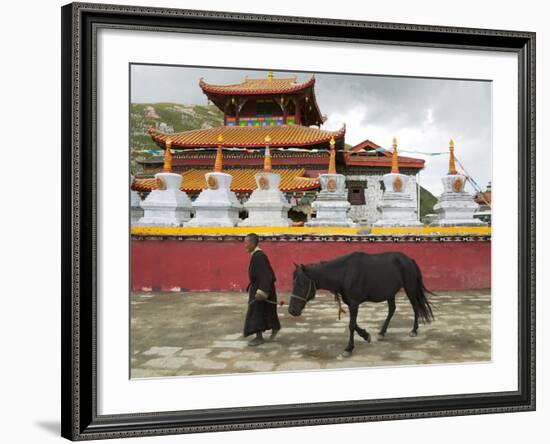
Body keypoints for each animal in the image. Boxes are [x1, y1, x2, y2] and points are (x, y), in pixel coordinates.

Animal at [288, 250, 436, 358]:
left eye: (302, 283)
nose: (292, 310)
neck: (345, 273)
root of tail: (409, 260)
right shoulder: (351, 303)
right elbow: (354, 324)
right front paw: (366, 335)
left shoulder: (354, 304)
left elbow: (351, 325)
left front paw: (349, 348)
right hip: (390, 292)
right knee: (392, 309)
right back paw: (381, 333)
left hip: (409, 288)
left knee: (415, 306)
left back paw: (414, 330)